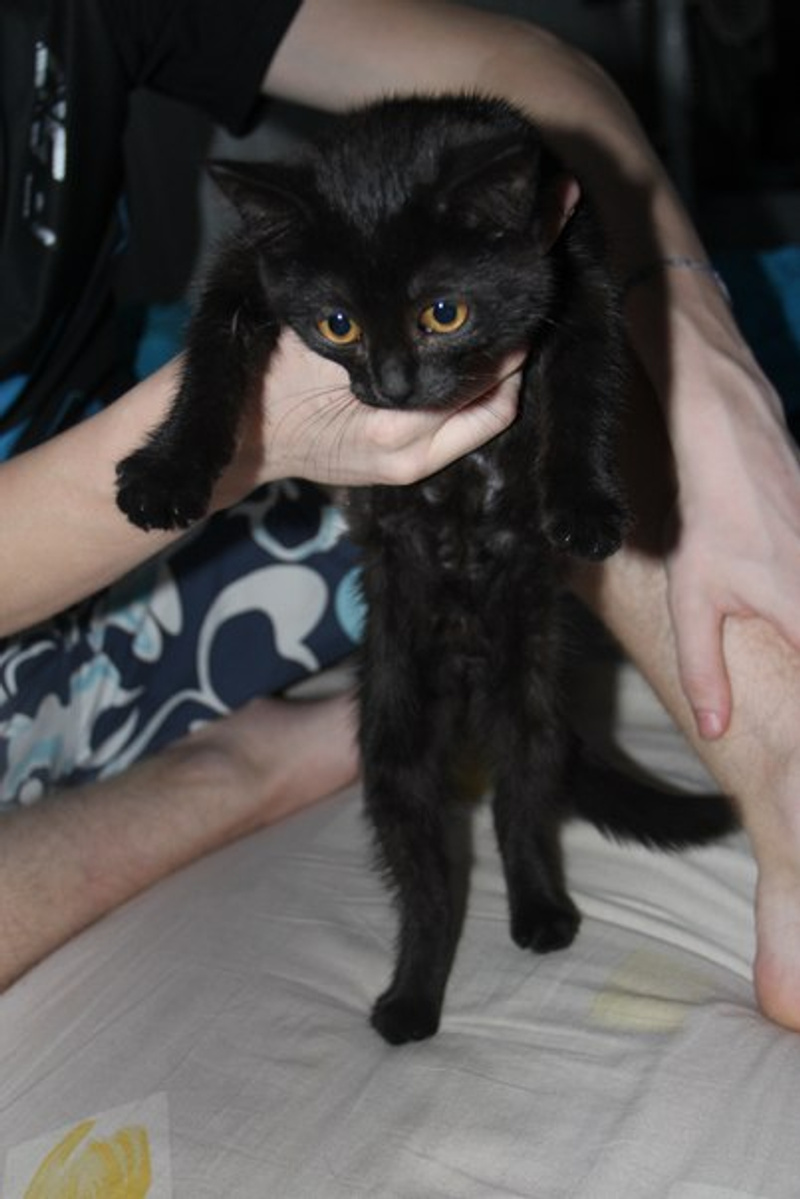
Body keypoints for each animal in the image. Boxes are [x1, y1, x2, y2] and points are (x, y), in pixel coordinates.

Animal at [115, 94, 737, 1044]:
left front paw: (586, 504)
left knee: (522, 810)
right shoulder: (246, 273)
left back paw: (539, 912)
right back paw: (411, 996)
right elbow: (208, 365)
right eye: (336, 323)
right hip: (394, 729)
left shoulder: (579, 268)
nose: (395, 384)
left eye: (445, 312)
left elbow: (587, 389)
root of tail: (470, 672)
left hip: (530, 704)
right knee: (428, 882)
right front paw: (164, 473)